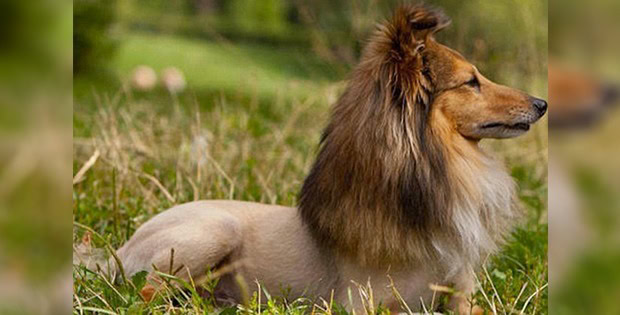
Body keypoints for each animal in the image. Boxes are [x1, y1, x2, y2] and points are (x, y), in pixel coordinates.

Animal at [109, 3, 544, 314]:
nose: (541, 104)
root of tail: (121, 251)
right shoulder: (361, 303)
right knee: (148, 292)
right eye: (471, 81)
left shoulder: (462, 296)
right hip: (214, 231)